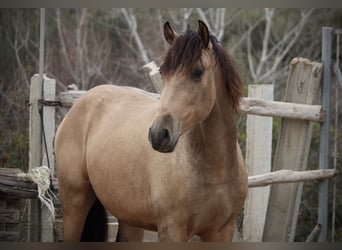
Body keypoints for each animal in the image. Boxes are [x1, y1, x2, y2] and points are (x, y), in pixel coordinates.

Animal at [55, 20, 248, 242]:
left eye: (197, 72)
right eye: (163, 73)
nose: (159, 134)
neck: (214, 172)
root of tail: (80, 103)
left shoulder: (222, 232)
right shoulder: (171, 230)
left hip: (129, 219)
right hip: (75, 207)